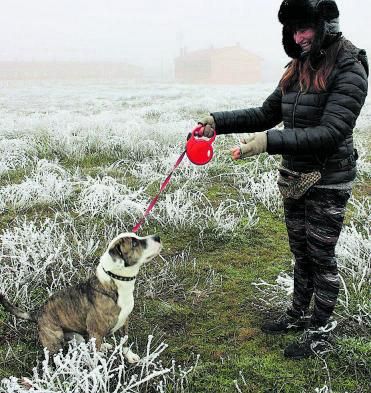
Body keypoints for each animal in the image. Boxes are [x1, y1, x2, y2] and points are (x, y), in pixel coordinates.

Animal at [0, 231, 163, 362]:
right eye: (135, 243)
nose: (158, 237)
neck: (115, 281)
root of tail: (37, 314)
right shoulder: (96, 332)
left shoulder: (124, 322)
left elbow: (125, 341)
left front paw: (129, 356)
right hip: (55, 340)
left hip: (78, 335)